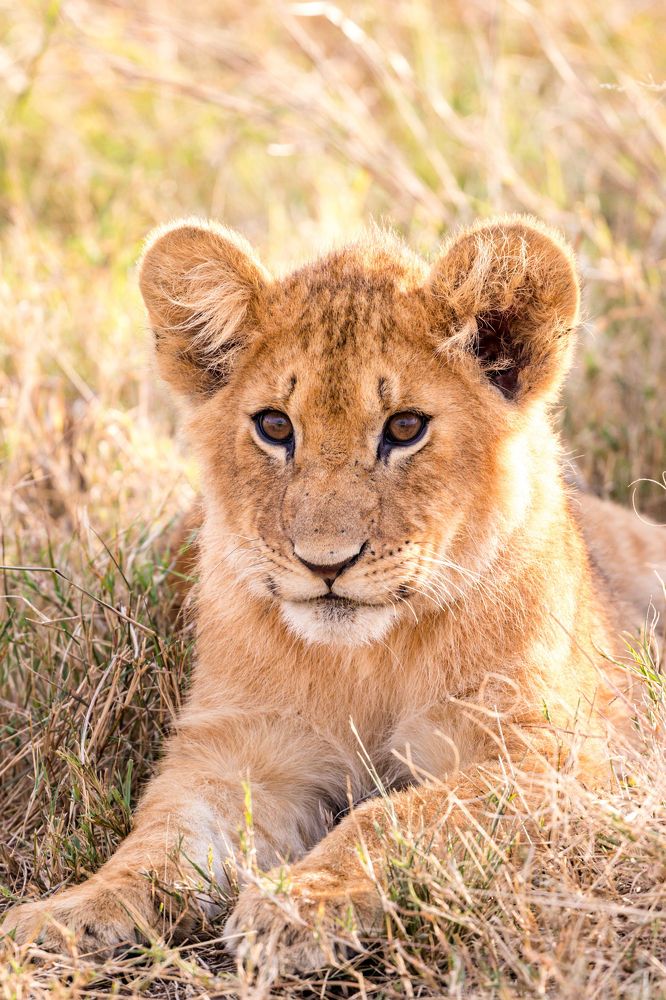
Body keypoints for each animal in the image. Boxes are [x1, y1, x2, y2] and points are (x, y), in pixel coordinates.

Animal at [3, 215, 665, 973]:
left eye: (405, 427)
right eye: (275, 426)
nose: (326, 563)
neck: (367, 661)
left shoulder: (564, 760)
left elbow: (398, 815)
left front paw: (299, 904)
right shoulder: (238, 751)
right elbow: (160, 842)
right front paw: (66, 914)